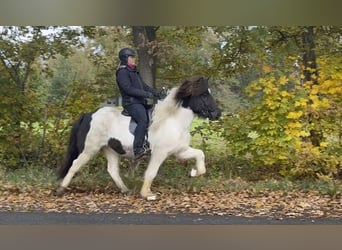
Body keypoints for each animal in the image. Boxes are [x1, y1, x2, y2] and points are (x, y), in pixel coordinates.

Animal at [55, 75, 222, 200]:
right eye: (204, 94)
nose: (217, 114)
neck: (173, 120)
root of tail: (89, 115)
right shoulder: (159, 153)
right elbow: (151, 173)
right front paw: (146, 194)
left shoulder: (179, 151)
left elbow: (200, 154)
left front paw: (194, 172)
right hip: (90, 148)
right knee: (75, 164)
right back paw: (61, 189)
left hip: (110, 149)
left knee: (112, 170)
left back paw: (126, 190)